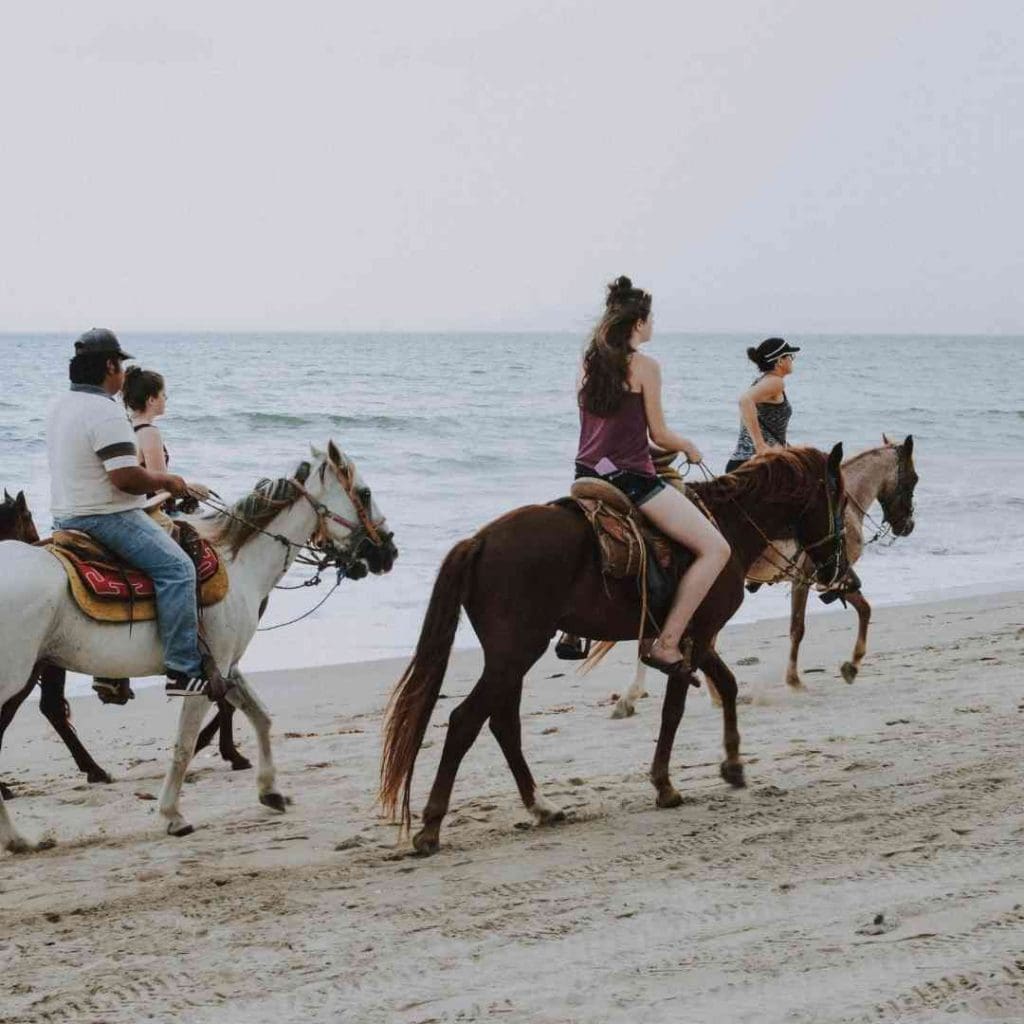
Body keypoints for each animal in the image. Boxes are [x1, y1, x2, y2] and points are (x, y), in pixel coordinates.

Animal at [382, 444, 847, 851]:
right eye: (839, 500)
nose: (839, 570)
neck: (728, 526)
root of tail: (479, 541)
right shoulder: (695, 636)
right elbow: (675, 709)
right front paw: (664, 785)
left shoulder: (693, 636)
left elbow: (728, 686)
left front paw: (732, 764)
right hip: (516, 653)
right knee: (467, 721)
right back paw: (432, 826)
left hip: (510, 657)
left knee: (502, 724)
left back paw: (541, 806)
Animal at [610, 436, 917, 716]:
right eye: (914, 479)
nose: (908, 526)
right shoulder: (810, 579)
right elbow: (802, 627)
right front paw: (802, 679)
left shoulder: (829, 578)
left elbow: (861, 609)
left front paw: (849, 665)